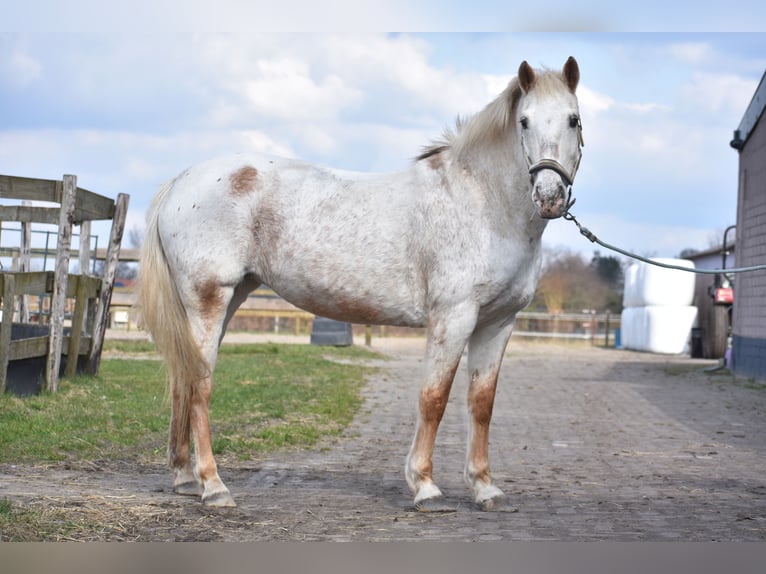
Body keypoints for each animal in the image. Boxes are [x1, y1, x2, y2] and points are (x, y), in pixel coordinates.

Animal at [138, 56, 584, 510]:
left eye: (573, 119)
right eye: (525, 121)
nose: (549, 196)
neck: (481, 202)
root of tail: (180, 182)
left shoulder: (498, 323)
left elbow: (481, 404)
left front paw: (484, 487)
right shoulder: (453, 318)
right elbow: (434, 398)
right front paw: (424, 486)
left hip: (227, 301)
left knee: (183, 379)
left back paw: (185, 478)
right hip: (209, 300)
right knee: (199, 384)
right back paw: (214, 486)